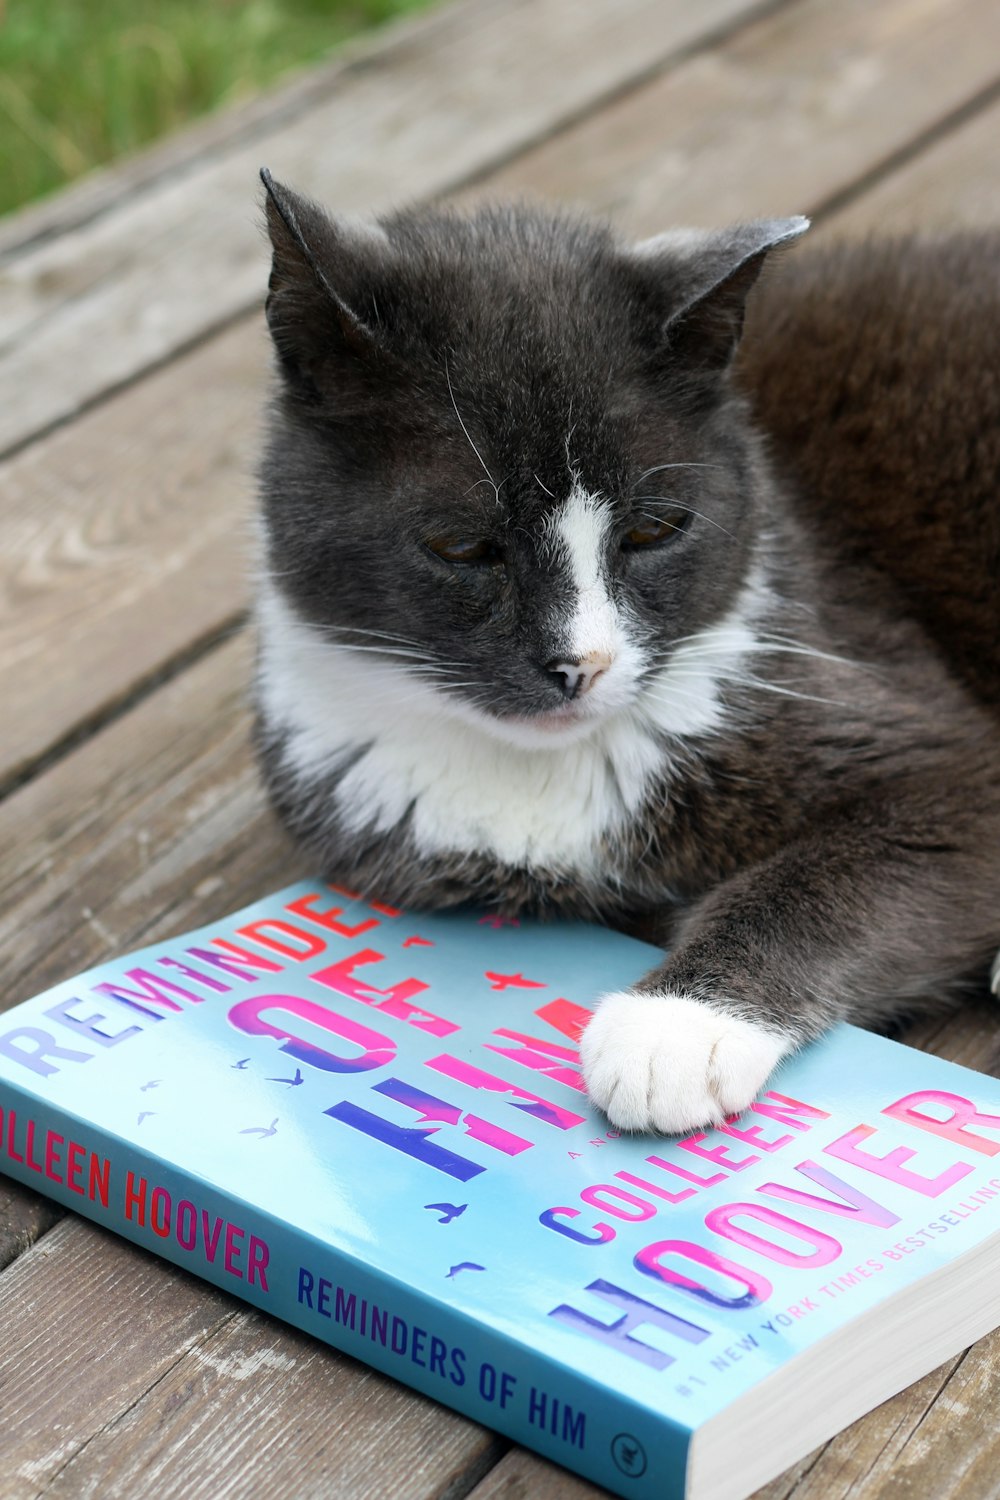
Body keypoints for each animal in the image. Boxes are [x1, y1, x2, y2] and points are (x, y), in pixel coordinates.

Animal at [251, 170, 1000, 1128]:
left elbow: (848, 864)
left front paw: (676, 1027)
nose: (581, 666)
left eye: (654, 530)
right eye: (461, 547)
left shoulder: (937, 745)